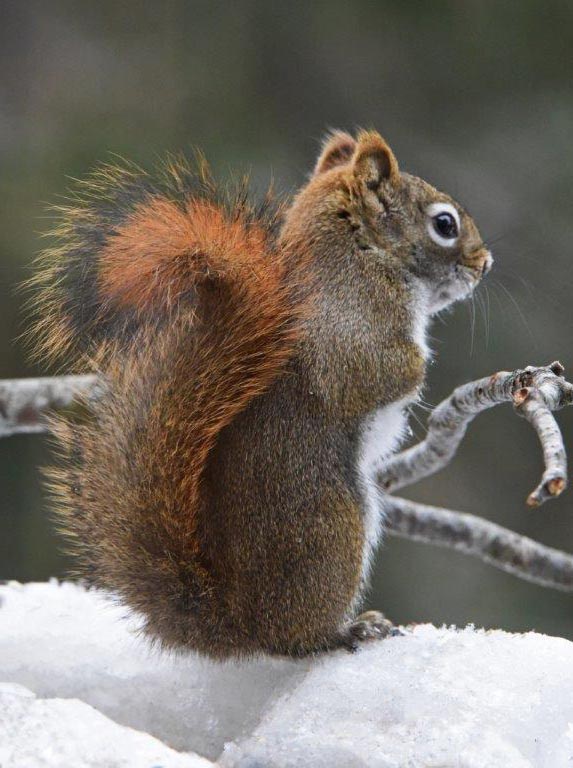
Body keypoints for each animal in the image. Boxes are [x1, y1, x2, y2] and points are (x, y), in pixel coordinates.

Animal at [29, 129, 492, 658]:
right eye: (444, 224)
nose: (484, 263)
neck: (359, 255)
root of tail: (238, 624)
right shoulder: (352, 326)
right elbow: (378, 374)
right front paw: (421, 365)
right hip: (333, 528)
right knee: (298, 637)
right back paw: (346, 630)